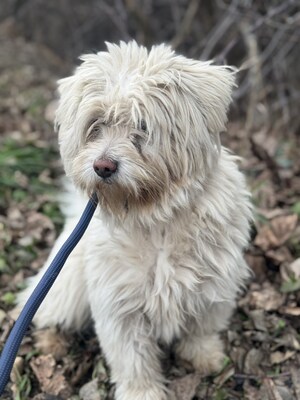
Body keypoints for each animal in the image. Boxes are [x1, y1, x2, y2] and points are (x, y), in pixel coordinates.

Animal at [18, 41, 253, 400]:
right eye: (96, 125)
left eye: (142, 126)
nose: (102, 166)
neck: (157, 216)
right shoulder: (118, 304)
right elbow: (133, 359)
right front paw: (143, 393)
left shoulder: (215, 284)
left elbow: (202, 327)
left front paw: (204, 355)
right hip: (64, 283)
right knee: (43, 310)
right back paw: (51, 341)